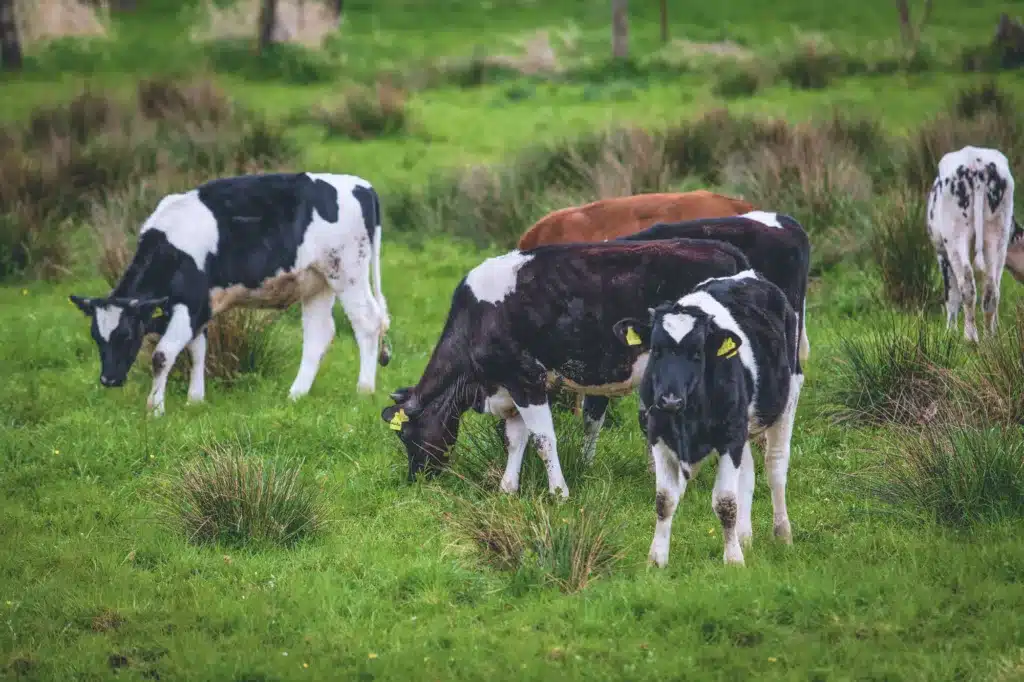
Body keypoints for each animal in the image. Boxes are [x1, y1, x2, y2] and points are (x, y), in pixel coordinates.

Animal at [70, 173, 391, 411]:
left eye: (126, 335)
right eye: (96, 336)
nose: (108, 379)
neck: (171, 247)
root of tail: (362, 185)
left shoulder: (191, 302)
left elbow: (162, 355)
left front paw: (155, 408)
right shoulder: (197, 307)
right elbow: (197, 349)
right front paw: (195, 400)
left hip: (347, 272)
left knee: (367, 322)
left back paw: (364, 390)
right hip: (318, 281)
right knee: (319, 334)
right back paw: (295, 394)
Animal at [380, 236, 749, 497]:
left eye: (407, 436)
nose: (415, 479)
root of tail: (723, 248)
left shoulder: (526, 379)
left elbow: (543, 439)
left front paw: (559, 493)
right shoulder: (512, 387)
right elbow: (516, 439)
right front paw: (507, 489)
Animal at [610, 268, 802, 565]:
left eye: (697, 353)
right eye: (655, 350)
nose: (670, 400)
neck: (687, 418)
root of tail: (749, 274)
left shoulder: (729, 437)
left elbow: (725, 502)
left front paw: (733, 560)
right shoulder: (658, 436)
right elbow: (664, 500)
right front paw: (656, 559)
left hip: (787, 397)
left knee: (776, 467)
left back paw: (782, 534)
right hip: (742, 426)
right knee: (748, 473)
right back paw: (745, 538)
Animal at [929, 146, 1015, 342]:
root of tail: (977, 162)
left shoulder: (942, 255)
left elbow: (951, 295)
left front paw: (949, 333)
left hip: (955, 236)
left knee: (967, 285)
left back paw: (970, 338)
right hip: (998, 235)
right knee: (992, 288)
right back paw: (990, 338)